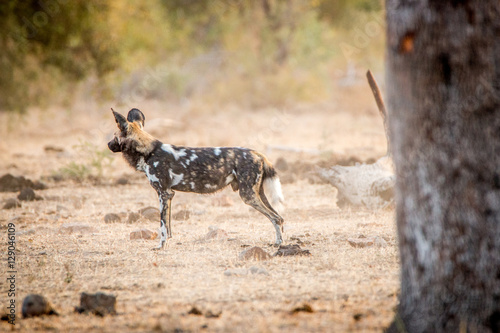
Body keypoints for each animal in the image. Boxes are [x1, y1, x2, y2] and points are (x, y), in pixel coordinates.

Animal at [107, 107, 284, 248]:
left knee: (276, 218)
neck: (149, 152)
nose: (108, 145)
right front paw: (168, 242)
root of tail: (258, 153)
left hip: (247, 195)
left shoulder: (163, 193)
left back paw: (279, 244)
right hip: (257, 193)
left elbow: (162, 226)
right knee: (280, 217)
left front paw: (161, 246)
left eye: (114, 136)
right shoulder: (169, 195)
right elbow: (168, 226)